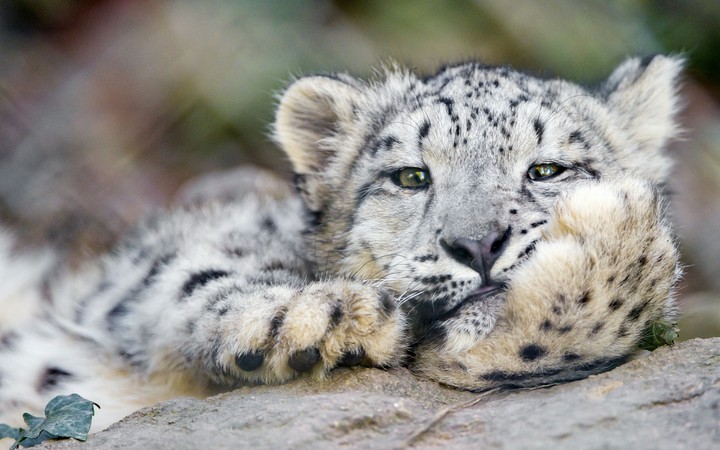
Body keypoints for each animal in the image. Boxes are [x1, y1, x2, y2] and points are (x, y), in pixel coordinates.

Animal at [0, 55, 683, 432]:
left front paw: (618, 232)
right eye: (411, 176)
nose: (478, 244)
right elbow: (195, 272)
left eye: (546, 170)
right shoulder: (146, 268)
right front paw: (317, 318)